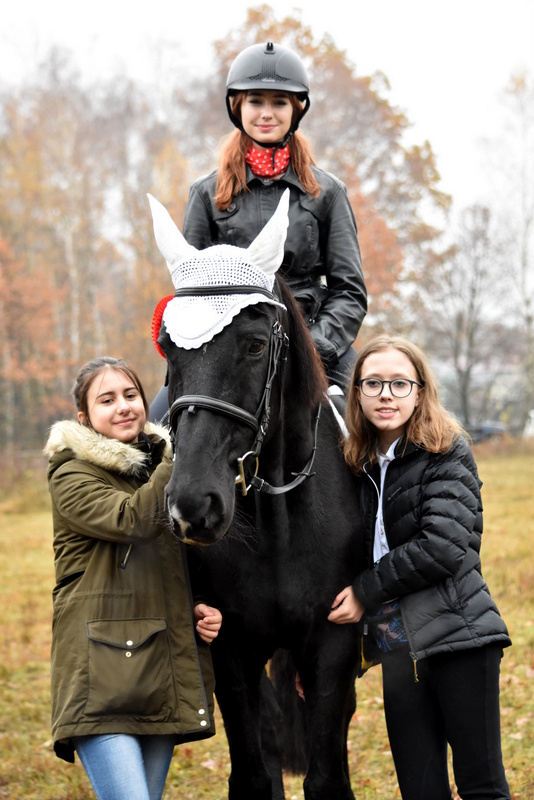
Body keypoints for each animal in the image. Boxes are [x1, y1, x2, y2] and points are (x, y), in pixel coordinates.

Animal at [148, 190, 363, 800]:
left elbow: (325, 776)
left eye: (254, 344)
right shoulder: (231, 648)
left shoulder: (333, 645)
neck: (276, 523)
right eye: (167, 346)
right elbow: (253, 773)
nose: (193, 507)